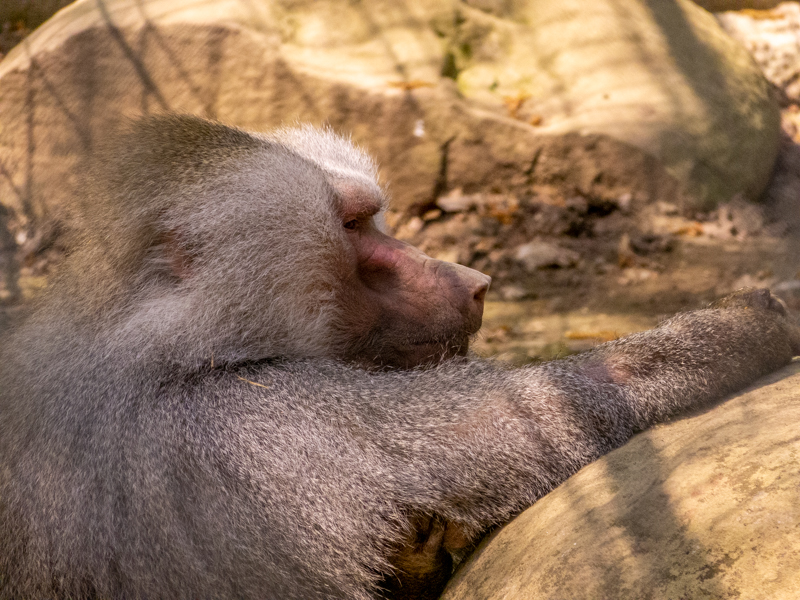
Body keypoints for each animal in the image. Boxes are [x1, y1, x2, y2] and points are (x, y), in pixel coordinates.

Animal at [0, 114, 797, 600]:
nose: (475, 284)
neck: (155, 336)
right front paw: (751, 321)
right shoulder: (243, 434)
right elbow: (524, 422)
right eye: (354, 225)